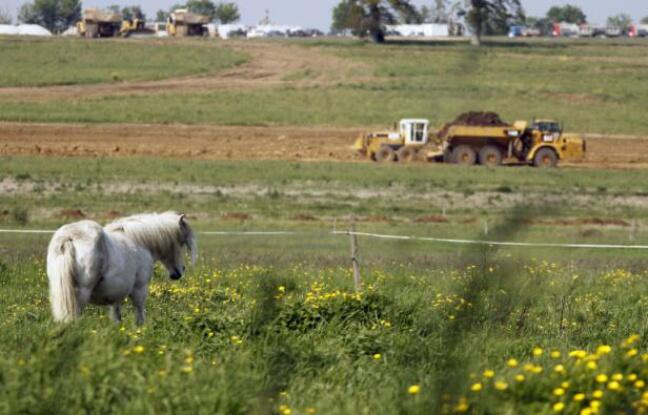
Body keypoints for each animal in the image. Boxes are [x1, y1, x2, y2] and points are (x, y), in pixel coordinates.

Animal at [46, 213, 195, 326]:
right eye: (181, 243)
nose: (180, 271)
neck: (139, 242)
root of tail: (69, 237)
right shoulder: (139, 289)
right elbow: (140, 315)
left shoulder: (115, 295)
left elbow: (117, 316)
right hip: (81, 294)